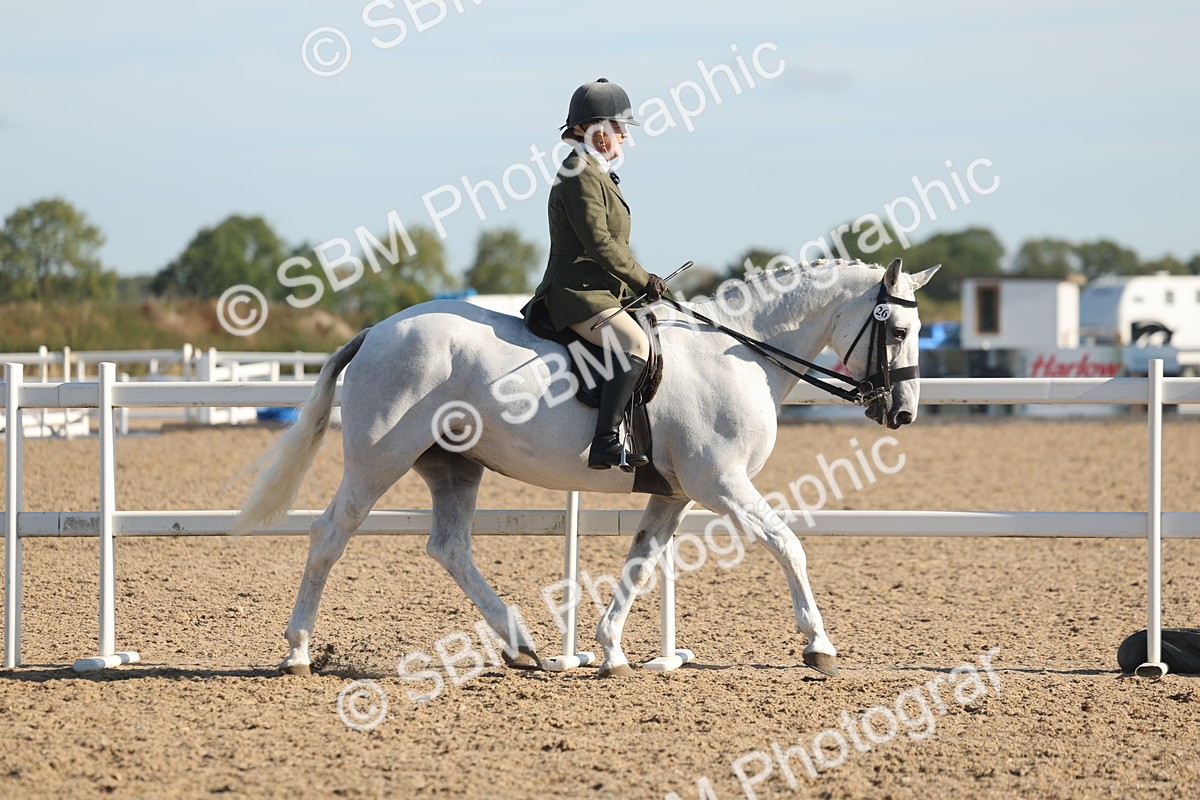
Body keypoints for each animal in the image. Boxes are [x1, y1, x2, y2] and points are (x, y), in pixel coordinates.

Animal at [233, 257, 939, 678]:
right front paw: (818, 645)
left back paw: (521, 646)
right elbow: (787, 543)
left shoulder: (675, 492)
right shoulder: (722, 483)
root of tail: (376, 330)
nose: (903, 413)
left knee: (449, 546)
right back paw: (297, 652)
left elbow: (641, 561)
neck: (739, 352)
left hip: (454, 466)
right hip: (378, 459)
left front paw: (612, 651)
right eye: (900, 331)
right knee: (330, 536)